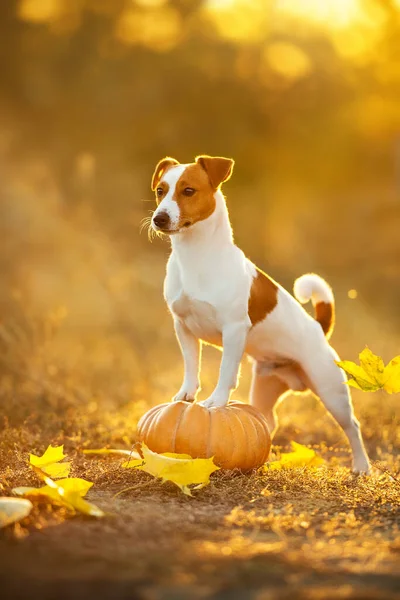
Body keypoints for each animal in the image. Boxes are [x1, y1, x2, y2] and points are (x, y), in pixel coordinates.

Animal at [148, 155, 370, 474]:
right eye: (160, 190)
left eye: (188, 191)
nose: (159, 218)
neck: (196, 256)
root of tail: (318, 327)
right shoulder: (183, 327)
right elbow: (191, 366)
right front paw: (186, 396)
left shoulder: (234, 329)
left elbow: (225, 371)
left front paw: (215, 402)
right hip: (265, 387)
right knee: (268, 421)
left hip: (331, 390)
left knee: (352, 426)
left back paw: (362, 466)